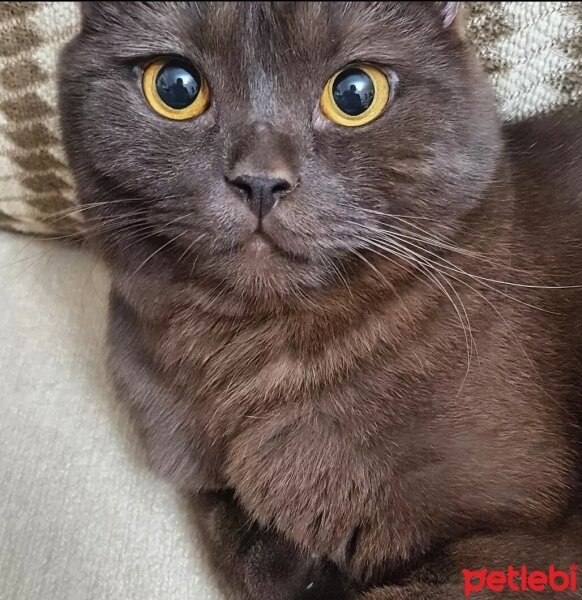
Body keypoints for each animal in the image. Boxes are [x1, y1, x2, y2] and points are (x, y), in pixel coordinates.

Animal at [59, 2, 582, 596]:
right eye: (175, 86)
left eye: (355, 93)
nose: (261, 181)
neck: (249, 356)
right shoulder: (195, 464)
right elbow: (238, 534)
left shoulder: (539, 545)